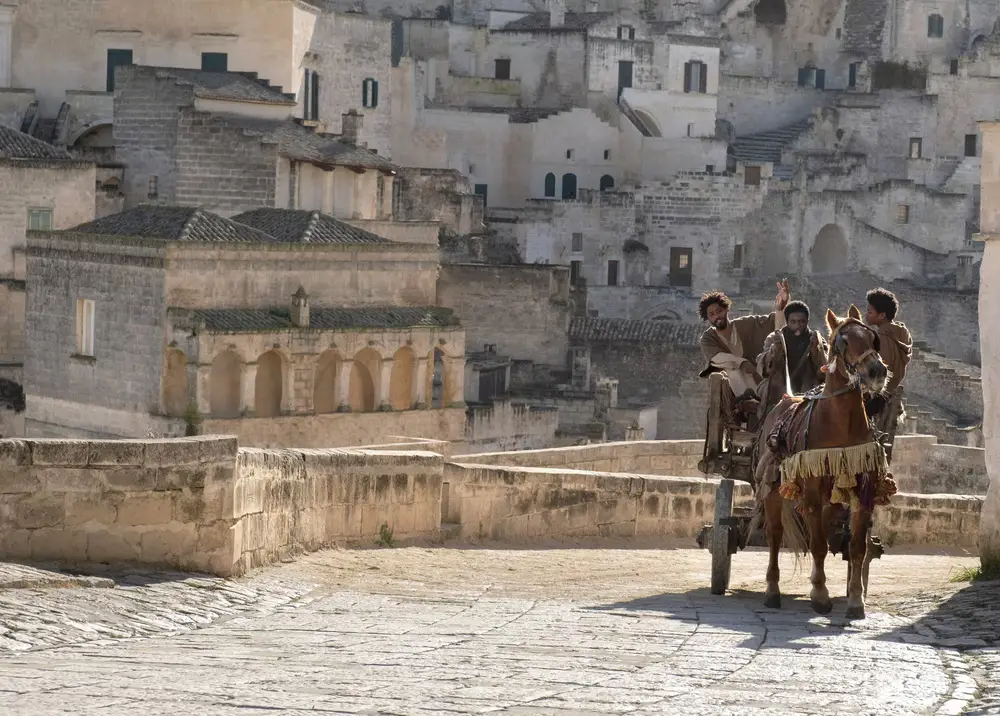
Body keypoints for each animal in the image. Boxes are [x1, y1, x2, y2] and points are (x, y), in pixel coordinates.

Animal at [752, 304, 896, 620]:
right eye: (843, 341)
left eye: (873, 338)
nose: (877, 371)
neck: (840, 424)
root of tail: (784, 399)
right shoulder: (812, 491)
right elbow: (816, 545)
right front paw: (819, 595)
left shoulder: (863, 491)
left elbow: (857, 548)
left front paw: (855, 601)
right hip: (772, 489)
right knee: (775, 535)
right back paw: (772, 591)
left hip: (831, 498)